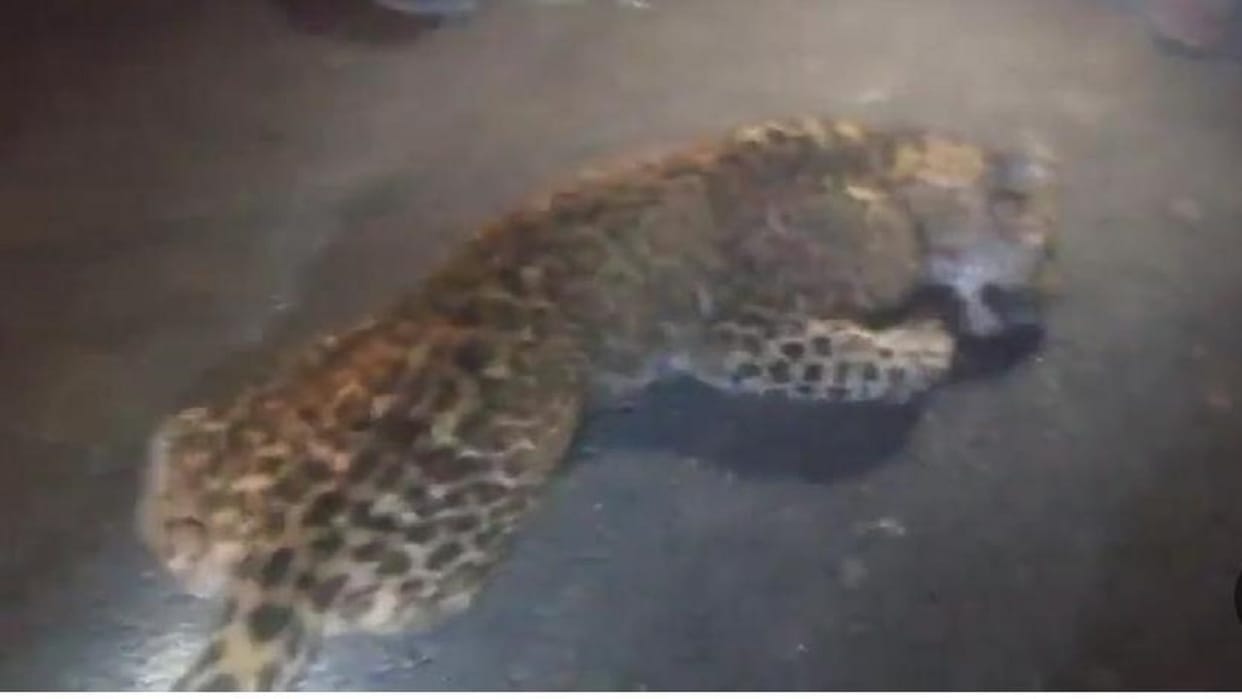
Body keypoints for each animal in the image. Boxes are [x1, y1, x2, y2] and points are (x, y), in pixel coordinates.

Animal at [136, 115, 1059, 690]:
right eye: (1047, 247)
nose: (1047, 300)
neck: (896, 170)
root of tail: (293, 537)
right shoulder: (738, 331)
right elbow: (847, 358)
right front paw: (926, 345)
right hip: (450, 550)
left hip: (260, 406)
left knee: (185, 480)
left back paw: (177, 516)